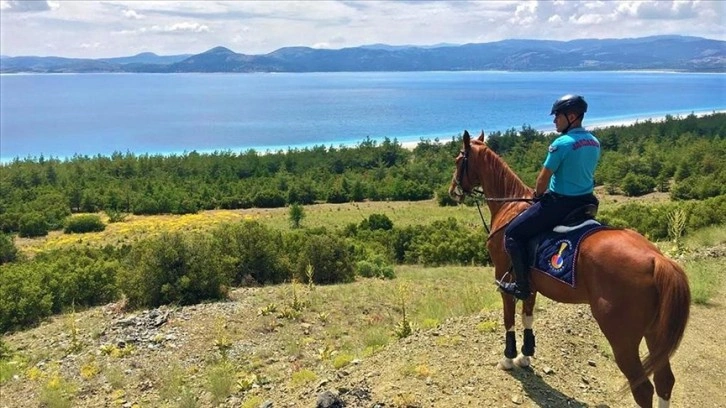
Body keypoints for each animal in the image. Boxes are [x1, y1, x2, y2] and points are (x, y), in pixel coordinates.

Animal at [450, 131, 692, 408]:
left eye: (458, 159)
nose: (452, 191)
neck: (510, 207)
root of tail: (657, 259)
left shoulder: (505, 276)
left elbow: (509, 318)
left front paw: (509, 358)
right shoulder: (528, 285)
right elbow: (527, 316)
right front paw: (526, 355)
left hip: (622, 338)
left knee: (643, 388)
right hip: (655, 333)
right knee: (665, 380)